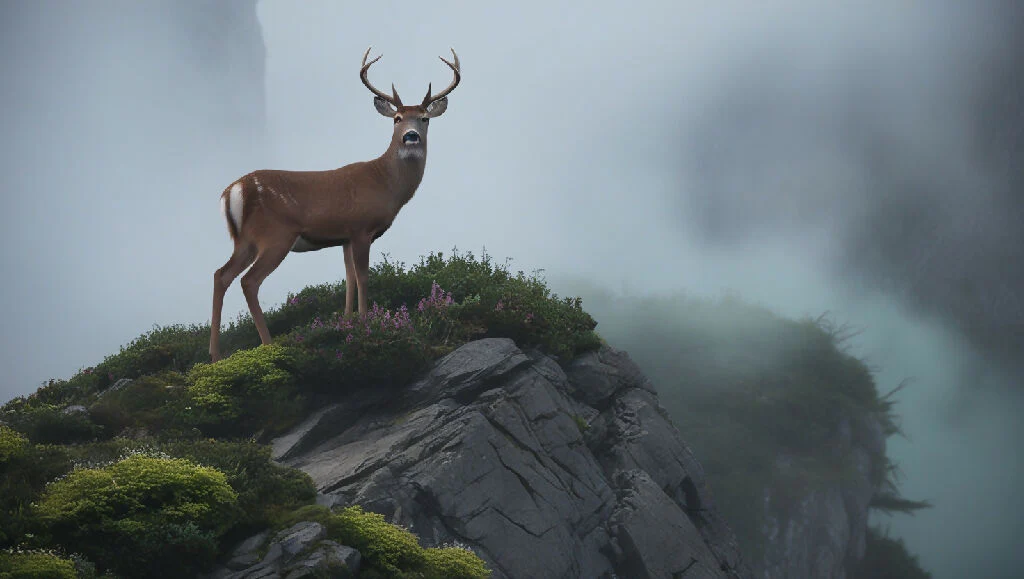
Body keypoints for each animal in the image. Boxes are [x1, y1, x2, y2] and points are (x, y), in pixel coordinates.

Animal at [209, 47, 461, 362]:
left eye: (425, 118)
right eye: (397, 118)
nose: (411, 137)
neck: (386, 184)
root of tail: (233, 191)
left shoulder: (344, 237)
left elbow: (348, 278)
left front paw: (348, 321)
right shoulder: (361, 228)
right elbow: (363, 276)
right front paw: (367, 322)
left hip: (244, 240)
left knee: (221, 275)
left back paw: (215, 355)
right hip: (275, 235)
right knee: (249, 281)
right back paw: (268, 345)